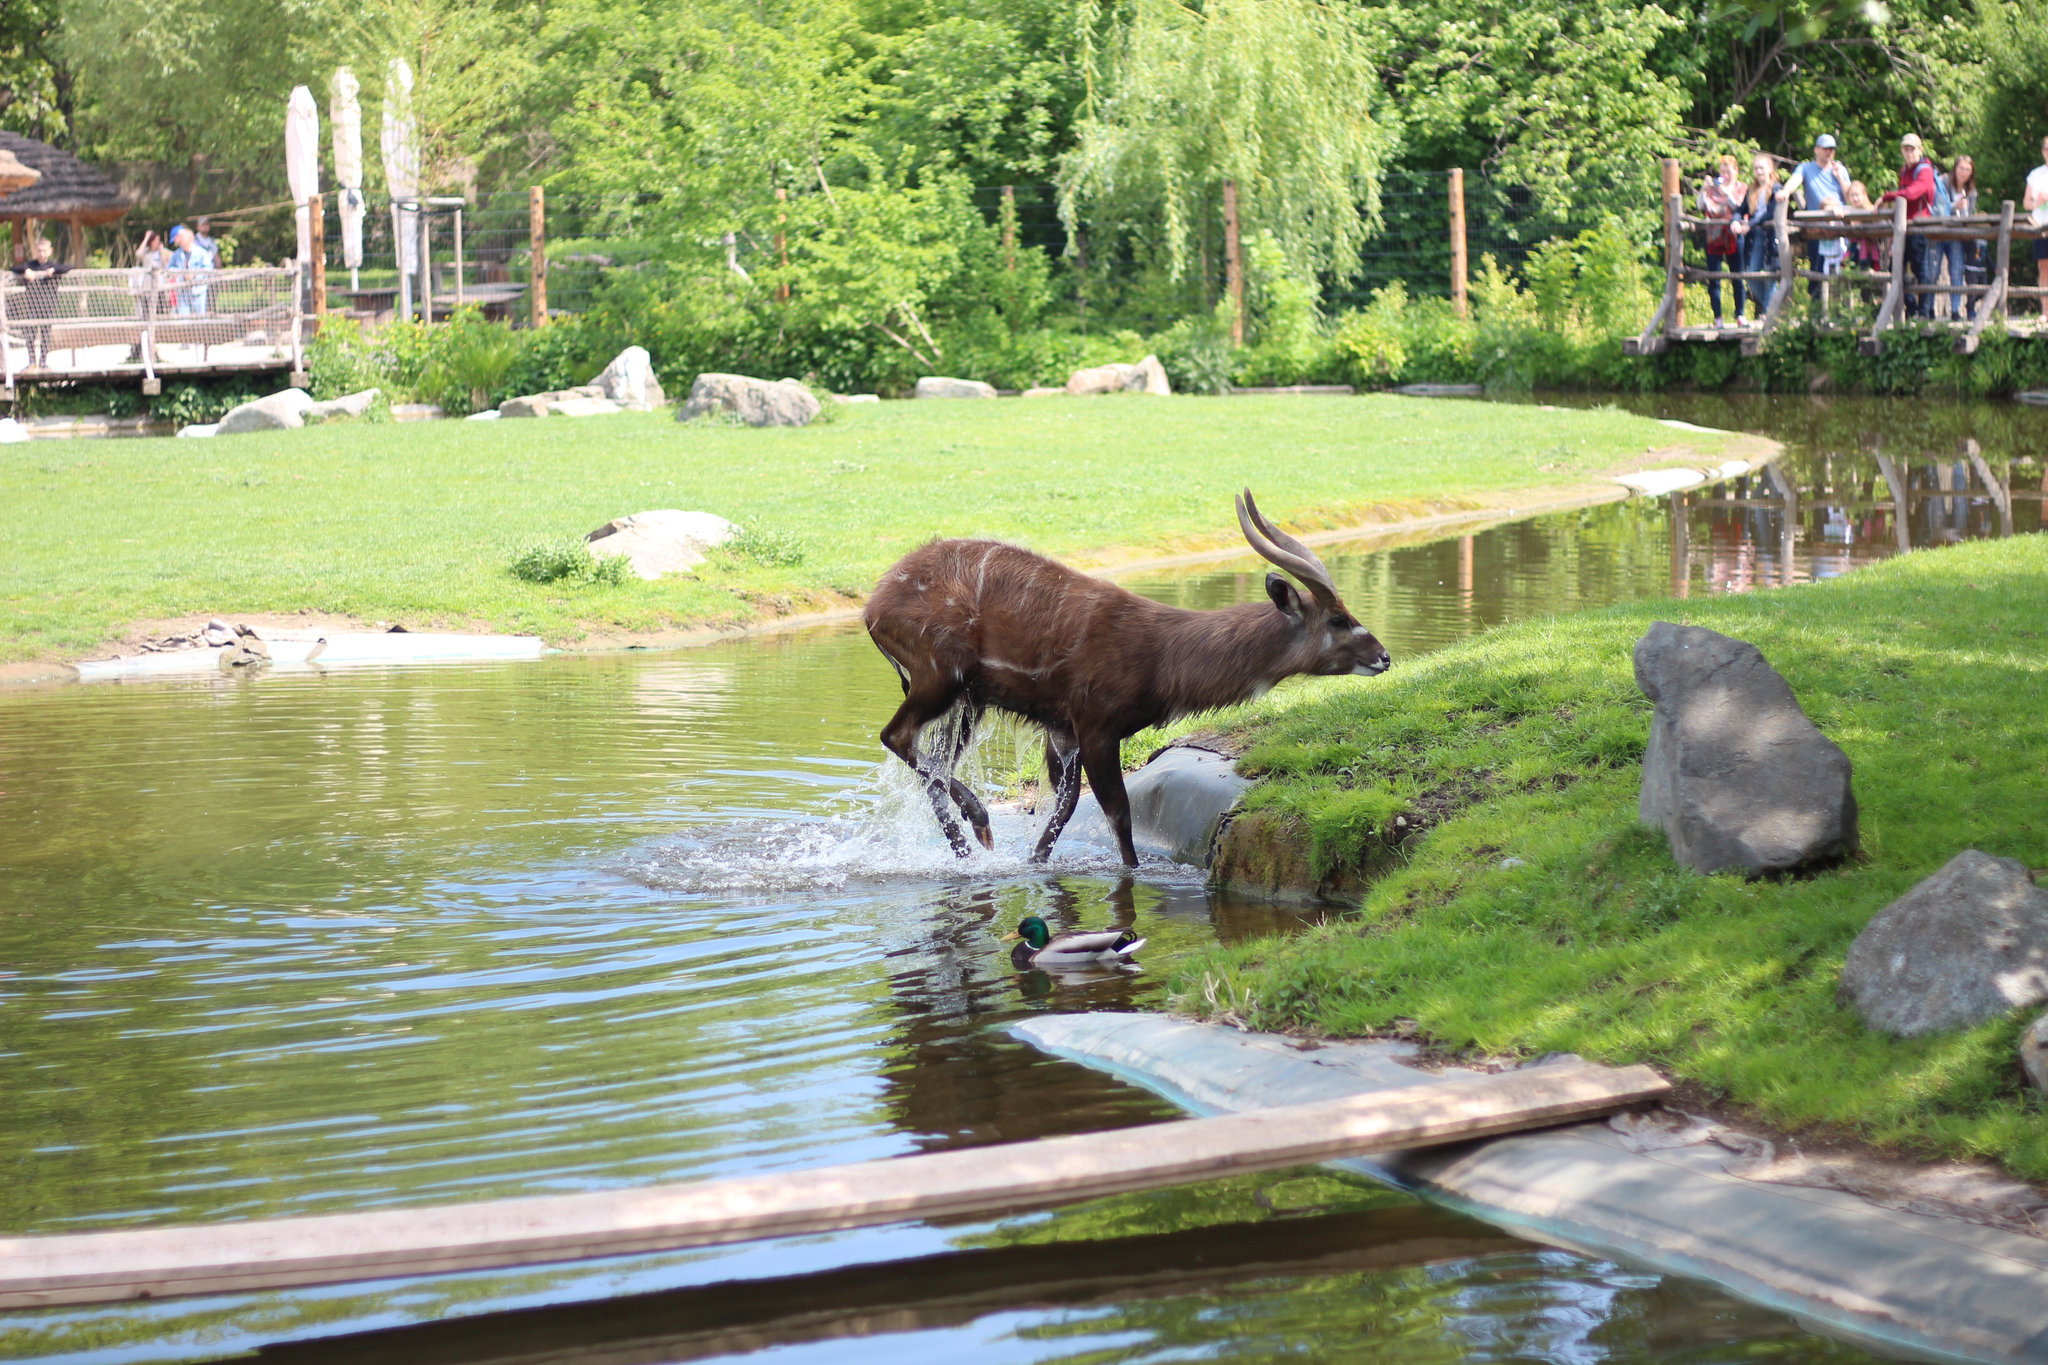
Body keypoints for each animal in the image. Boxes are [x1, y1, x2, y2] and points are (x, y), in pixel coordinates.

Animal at [864, 491, 1392, 863]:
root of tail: (873, 607)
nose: (1384, 657)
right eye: (1338, 619)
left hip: (967, 703)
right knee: (897, 736)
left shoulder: (1064, 728)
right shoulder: (1097, 725)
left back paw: (969, 846)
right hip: (941, 677)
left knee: (933, 763)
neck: (1161, 655)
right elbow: (1119, 817)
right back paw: (977, 826)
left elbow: (1064, 809)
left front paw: (1033, 861)